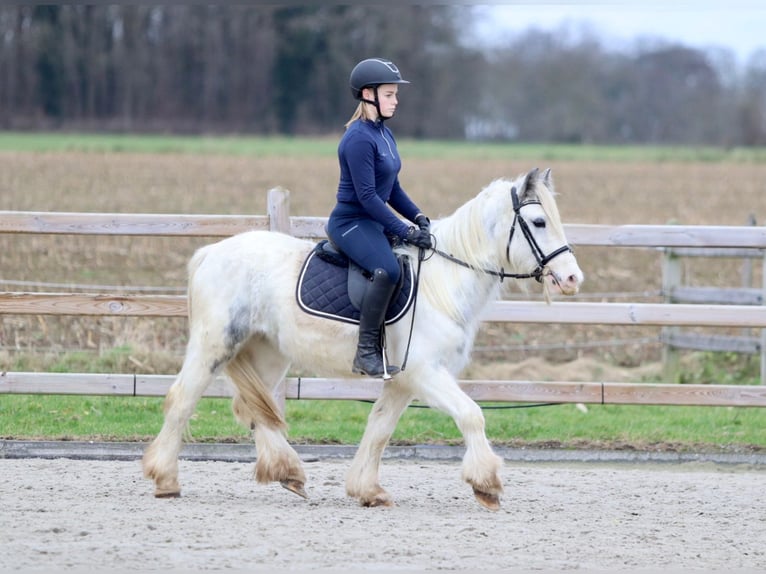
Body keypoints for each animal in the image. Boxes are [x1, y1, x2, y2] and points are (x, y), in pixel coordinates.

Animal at [144, 169, 584, 510]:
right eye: (539, 222)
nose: (572, 278)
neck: (443, 281)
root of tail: (210, 253)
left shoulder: (404, 380)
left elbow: (379, 429)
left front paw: (368, 490)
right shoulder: (426, 373)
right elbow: (471, 414)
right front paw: (486, 485)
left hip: (268, 353)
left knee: (254, 408)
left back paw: (288, 473)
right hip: (214, 345)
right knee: (182, 400)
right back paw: (165, 480)